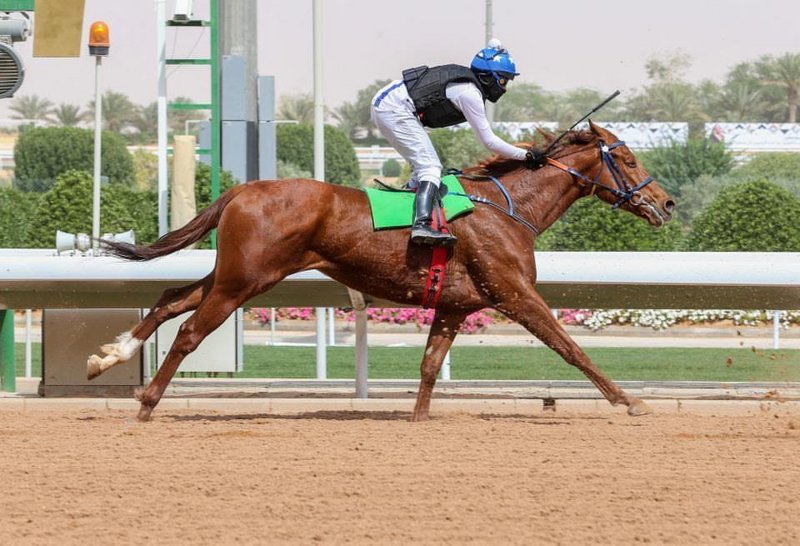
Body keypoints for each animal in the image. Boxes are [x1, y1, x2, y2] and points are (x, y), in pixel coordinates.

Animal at [89, 122, 676, 420]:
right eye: (627, 160)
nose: (666, 204)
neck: (504, 208)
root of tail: (241, 189)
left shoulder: (455, 306)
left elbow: (428, 368)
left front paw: (416, 422)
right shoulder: (514, 294)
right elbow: (571, 347)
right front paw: (630, 401)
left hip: (236, 275)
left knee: (171, 297)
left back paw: (106, 357)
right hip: (245, 280)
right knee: (189, 330)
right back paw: (145, 403)